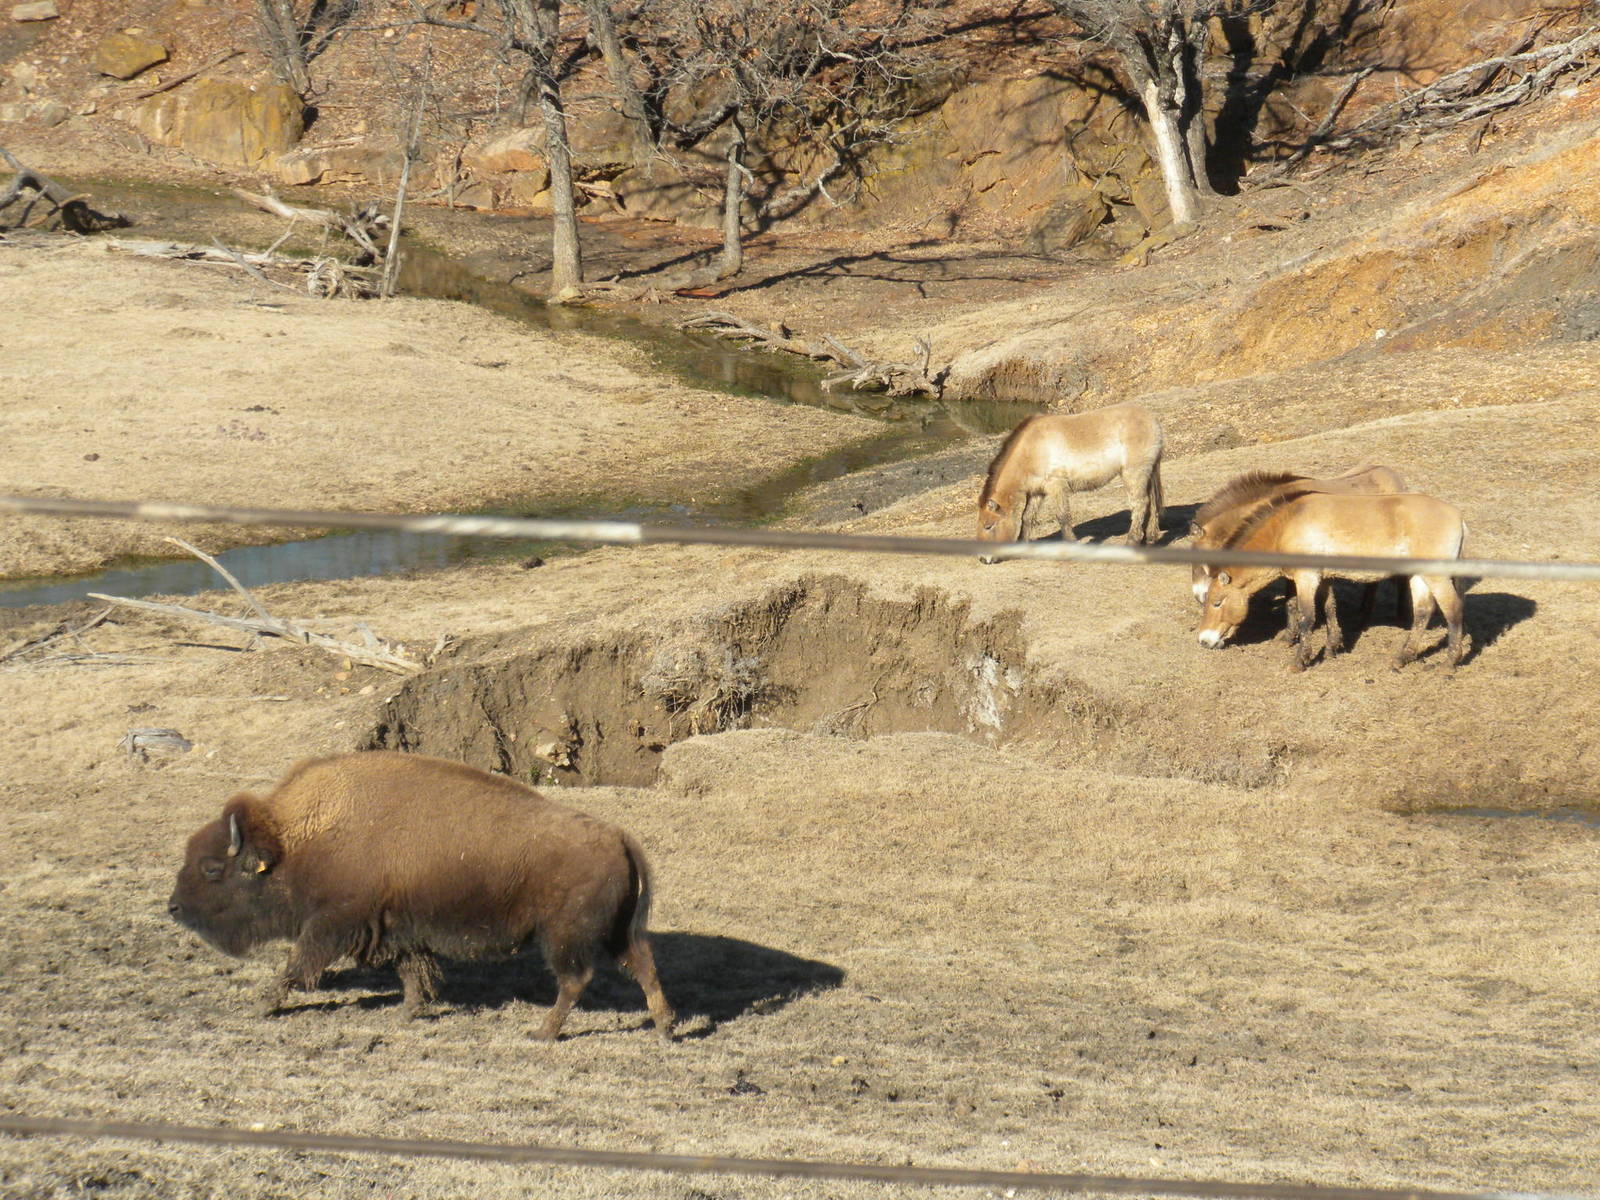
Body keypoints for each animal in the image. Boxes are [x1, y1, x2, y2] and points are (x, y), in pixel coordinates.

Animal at [168, 750, 675, 1040]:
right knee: (645, 968)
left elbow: (296, 964)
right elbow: (413, 971)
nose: (174, 907)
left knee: (575, 980)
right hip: (619, 933)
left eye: (212, 868)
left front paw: (264, 1003)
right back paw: (664, 1029)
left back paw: (543, 1033)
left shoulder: (332, 923)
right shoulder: (394, 928)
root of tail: (619, 837)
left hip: (564, 938)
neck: (296, 839)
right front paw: (410, 1013)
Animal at [976, 404, 1164, 563]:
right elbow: (1027, 517)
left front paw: (1072, 546)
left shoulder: (1056, 486)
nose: (983, 559)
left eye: (988, 526)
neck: (1031, 450)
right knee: (1151, 503)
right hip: (1146, 474)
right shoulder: (1037, 492)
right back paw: (1149, 538)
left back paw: (1132, 542)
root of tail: (1152, 420)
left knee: (1140, 504)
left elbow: (1063, 516)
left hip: (1134, 474)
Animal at [1195, 491, 1468, 671]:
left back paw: (1449, 662)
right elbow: (1329, 610)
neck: (1287, 525)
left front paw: (1300, 661)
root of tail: (1458, 517)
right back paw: (1403, 657)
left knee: (1453, 611)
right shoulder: (1323, 578)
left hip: (1436, 577)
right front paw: (1331, 649)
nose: (1204, 640)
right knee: (1423, 612)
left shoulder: (1306, 578)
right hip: (1419, 576)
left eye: (1217, 602)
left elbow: (1307, 617)